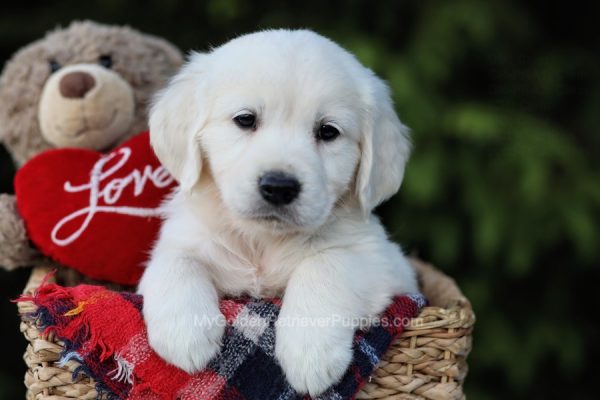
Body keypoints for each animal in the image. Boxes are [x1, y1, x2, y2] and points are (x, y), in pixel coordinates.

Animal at [138, 29, 418, 396]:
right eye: (245, 119)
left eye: (328, 131)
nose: (279, 187)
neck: (262, 242)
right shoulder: (183, 238)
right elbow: (176, 262)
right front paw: (185, 335)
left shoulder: (385, 261)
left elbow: (325, 264)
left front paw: (310, 353)